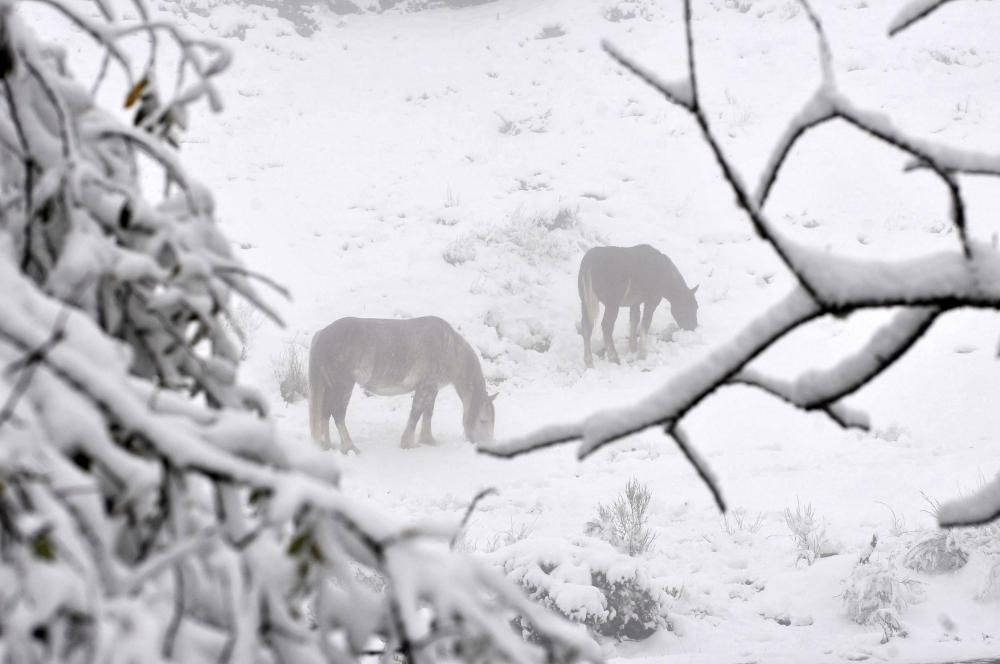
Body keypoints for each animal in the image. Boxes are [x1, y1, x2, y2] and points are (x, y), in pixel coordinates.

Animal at [304, 316, 492, 452]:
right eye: (483, 420)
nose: (484, 445)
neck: (449, 349)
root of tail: (322, 334)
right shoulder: (424, 387)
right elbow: (416, 414)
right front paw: (408, 444)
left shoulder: (432, 389)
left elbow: (428, 414)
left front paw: (429, 440)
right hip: (343, 387)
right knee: (337, 415)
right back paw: (350, 447)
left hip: (330, 387)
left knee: (325, 414)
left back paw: (327, 445)